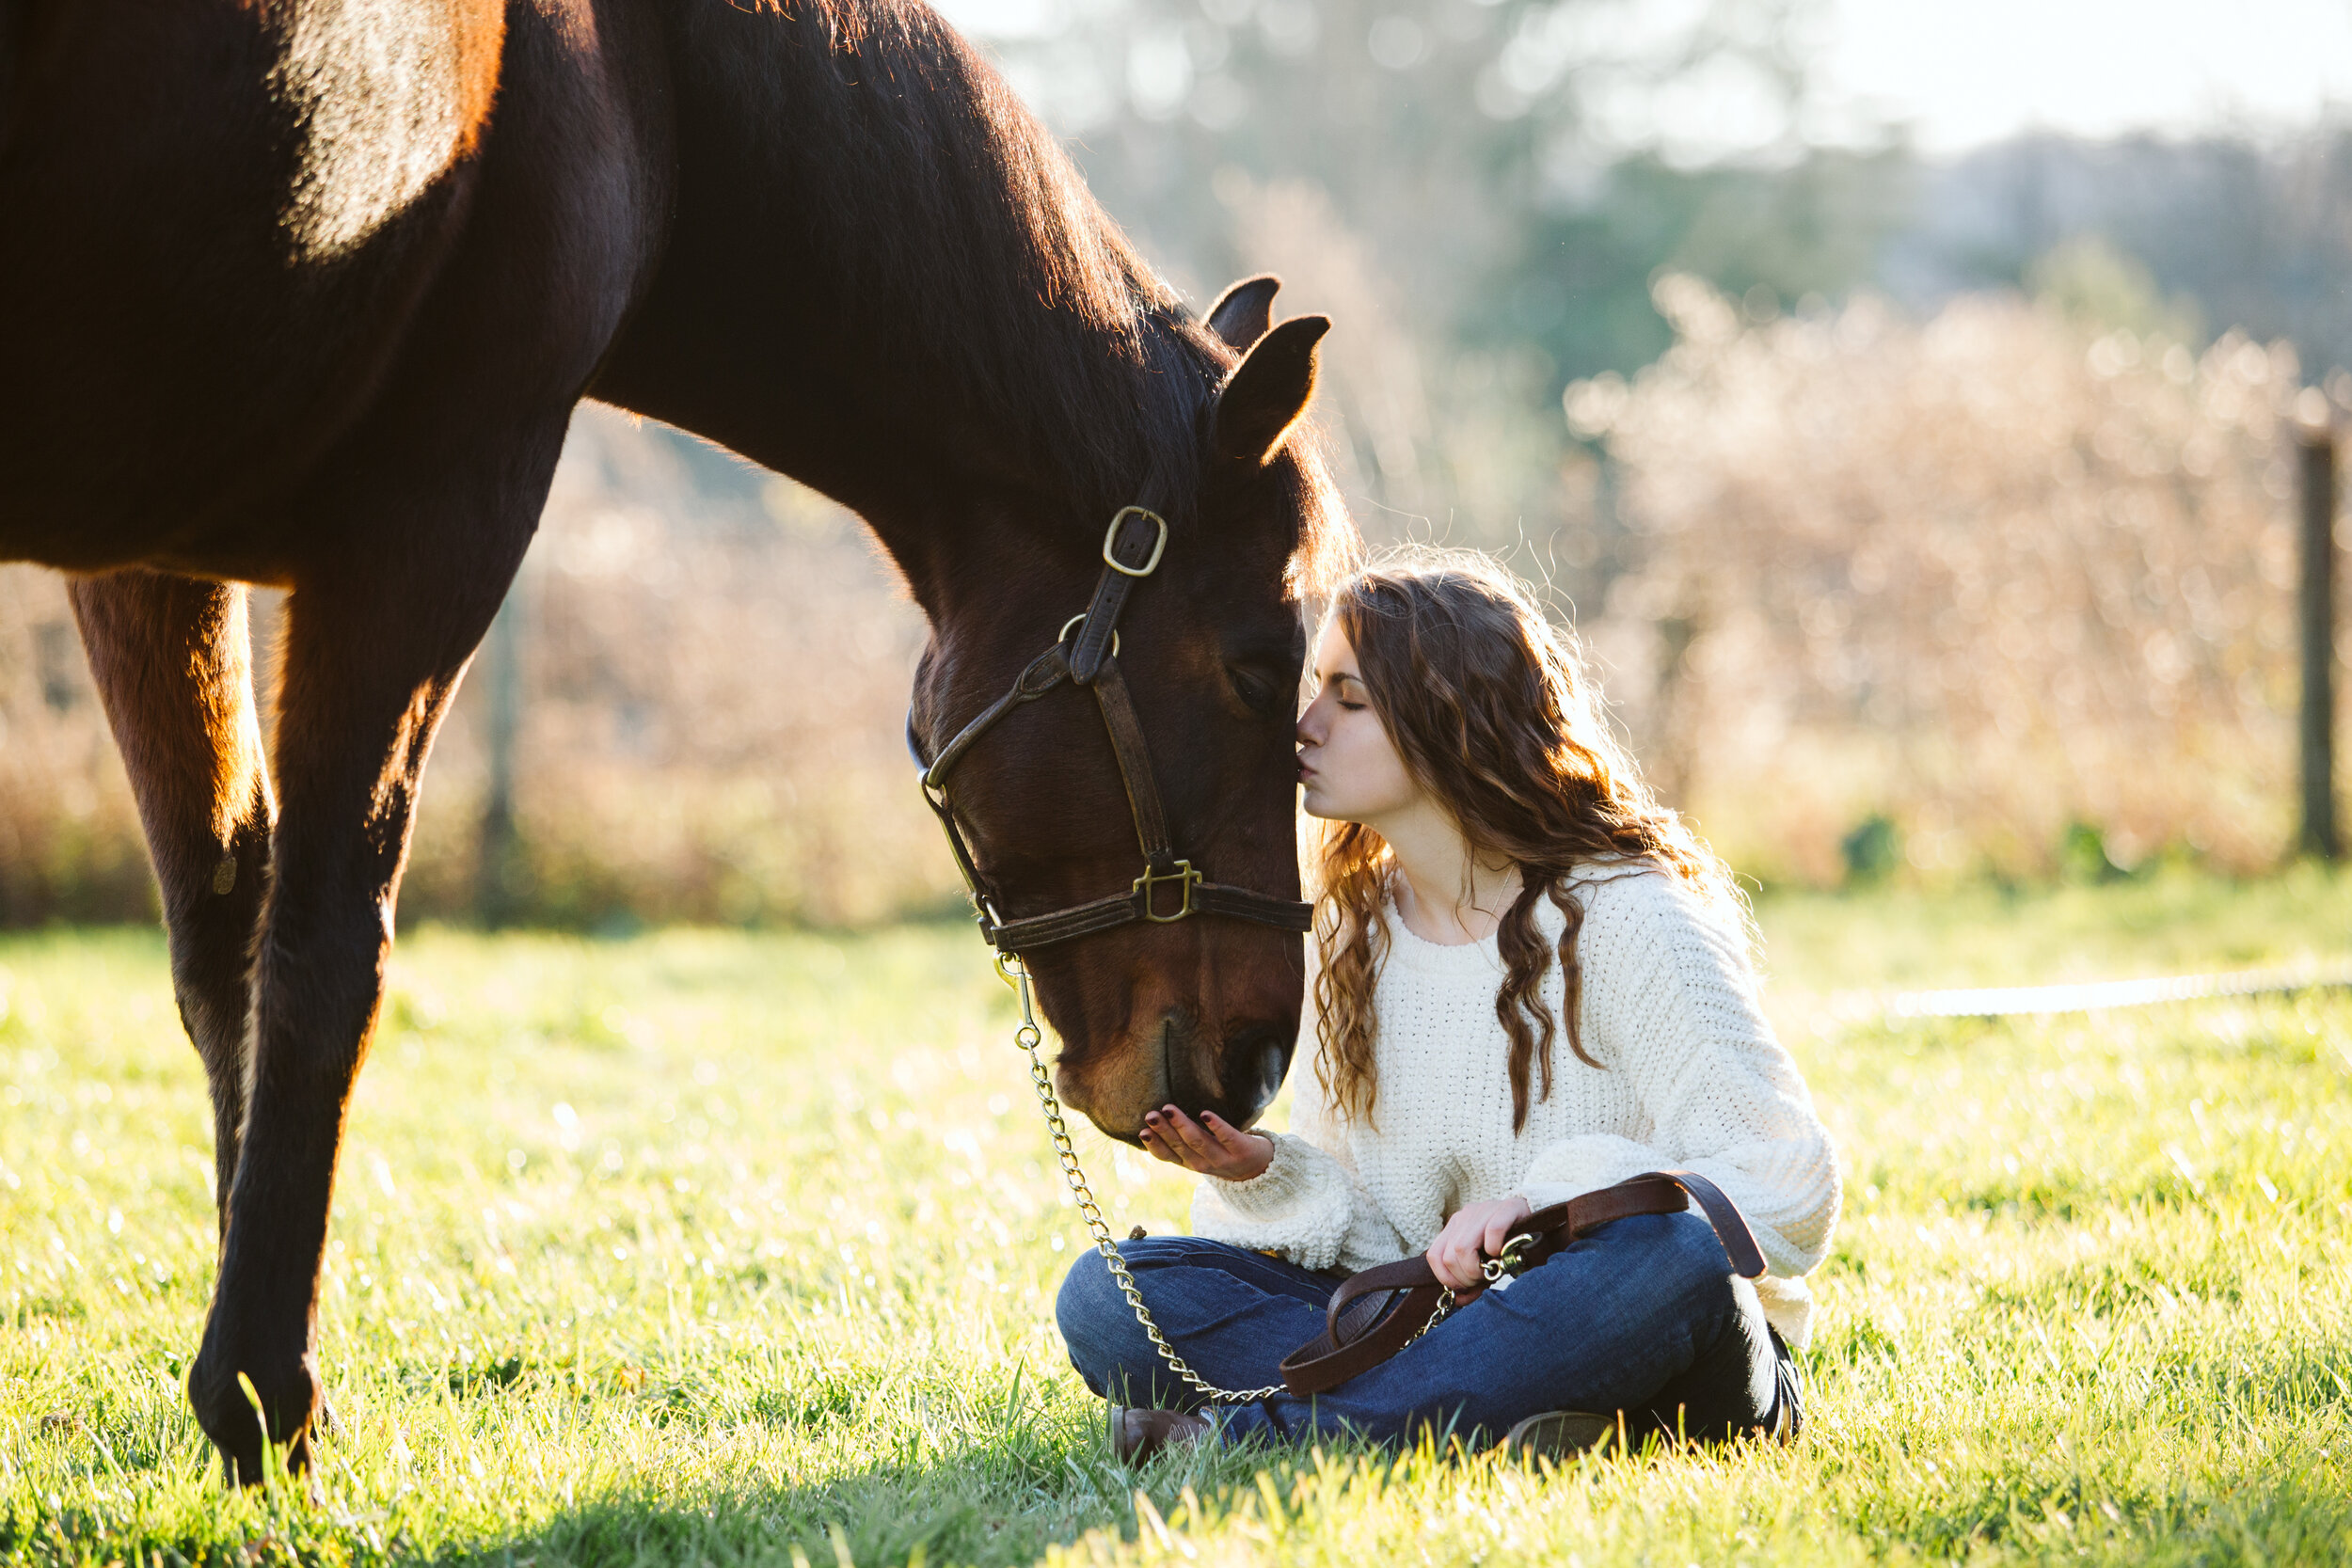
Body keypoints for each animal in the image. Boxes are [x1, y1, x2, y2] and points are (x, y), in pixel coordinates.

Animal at [4, 0, 1345, 1485]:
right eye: (1259, 666)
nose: (1256, 1062)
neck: (645, 73)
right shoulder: (433, 511)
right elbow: (321, 951)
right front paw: (265, 1396)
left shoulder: (150, 555)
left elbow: (225, 949)